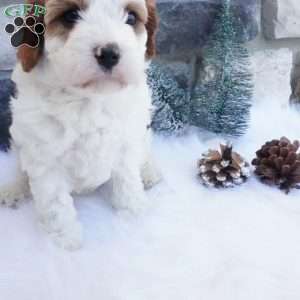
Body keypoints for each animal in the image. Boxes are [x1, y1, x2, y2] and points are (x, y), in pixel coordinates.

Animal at [2, 0, 161, 248]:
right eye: (70, 16)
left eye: (131, 18)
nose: (109, 53)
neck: (88, 99)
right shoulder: (44, 158)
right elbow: (56, 204)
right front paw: (65, 242)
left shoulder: (125, 144)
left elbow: (127, 183)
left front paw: (134, 217)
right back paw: (14, 189)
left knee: (144, 149)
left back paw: (149, 173)